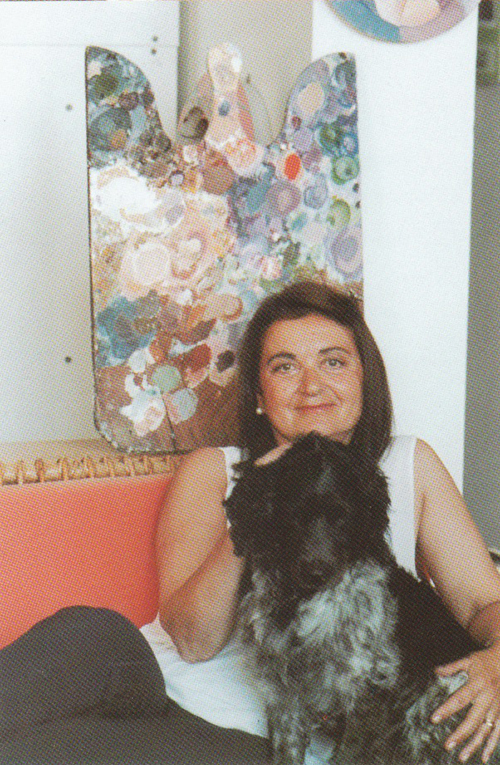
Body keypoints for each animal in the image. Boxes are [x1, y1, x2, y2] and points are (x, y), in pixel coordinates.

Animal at [225, 433, 486, 765]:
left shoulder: (370, 691)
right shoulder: (285, 696)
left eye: (342, 517)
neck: (301, 604)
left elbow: (350, 753)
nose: (316, 573)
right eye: (294, 515)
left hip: (431, 712)